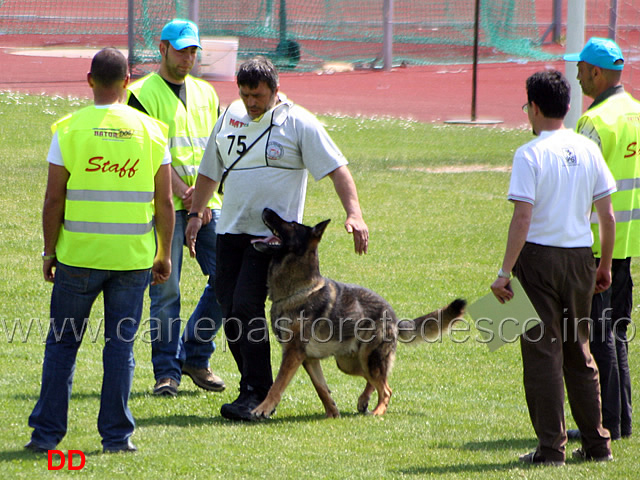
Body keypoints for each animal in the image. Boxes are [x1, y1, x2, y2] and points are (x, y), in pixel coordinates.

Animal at [250, 208, 464, 418]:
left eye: (292, 224)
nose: (266, 209)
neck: (299, 290)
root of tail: (393, 316)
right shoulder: (308, 359)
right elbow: (321, 388)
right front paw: (332, 413)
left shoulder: (293, 353)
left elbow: (277, 385)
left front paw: (263, 408)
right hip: (348, 362)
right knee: (377, 380)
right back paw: (364, 400)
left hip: (368, 358)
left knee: (386, 389)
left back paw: (378, 411)